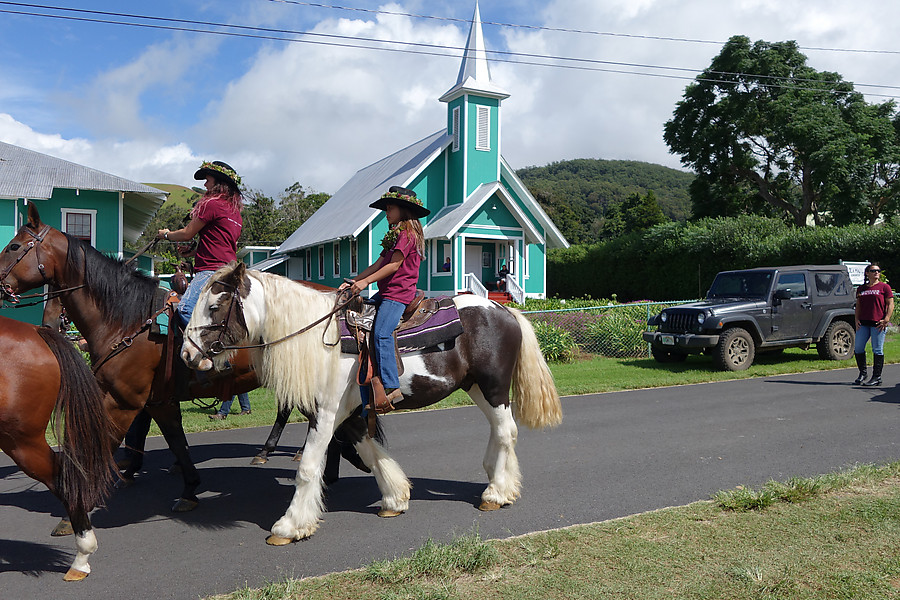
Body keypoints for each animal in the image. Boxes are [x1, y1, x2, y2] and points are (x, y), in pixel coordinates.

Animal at [180, 262, 564, 544]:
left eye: (214, 306)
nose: (186, 355)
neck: (322, 341)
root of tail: (506, 312)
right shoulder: (348, 414)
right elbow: (370, 452)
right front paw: (395, 498)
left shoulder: (325, 412)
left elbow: (308, 468)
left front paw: (290, 525)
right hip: (476, 388)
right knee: (499, 430)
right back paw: (501, 482)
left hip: (494, 387)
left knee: (506, 431)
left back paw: (495, 493)